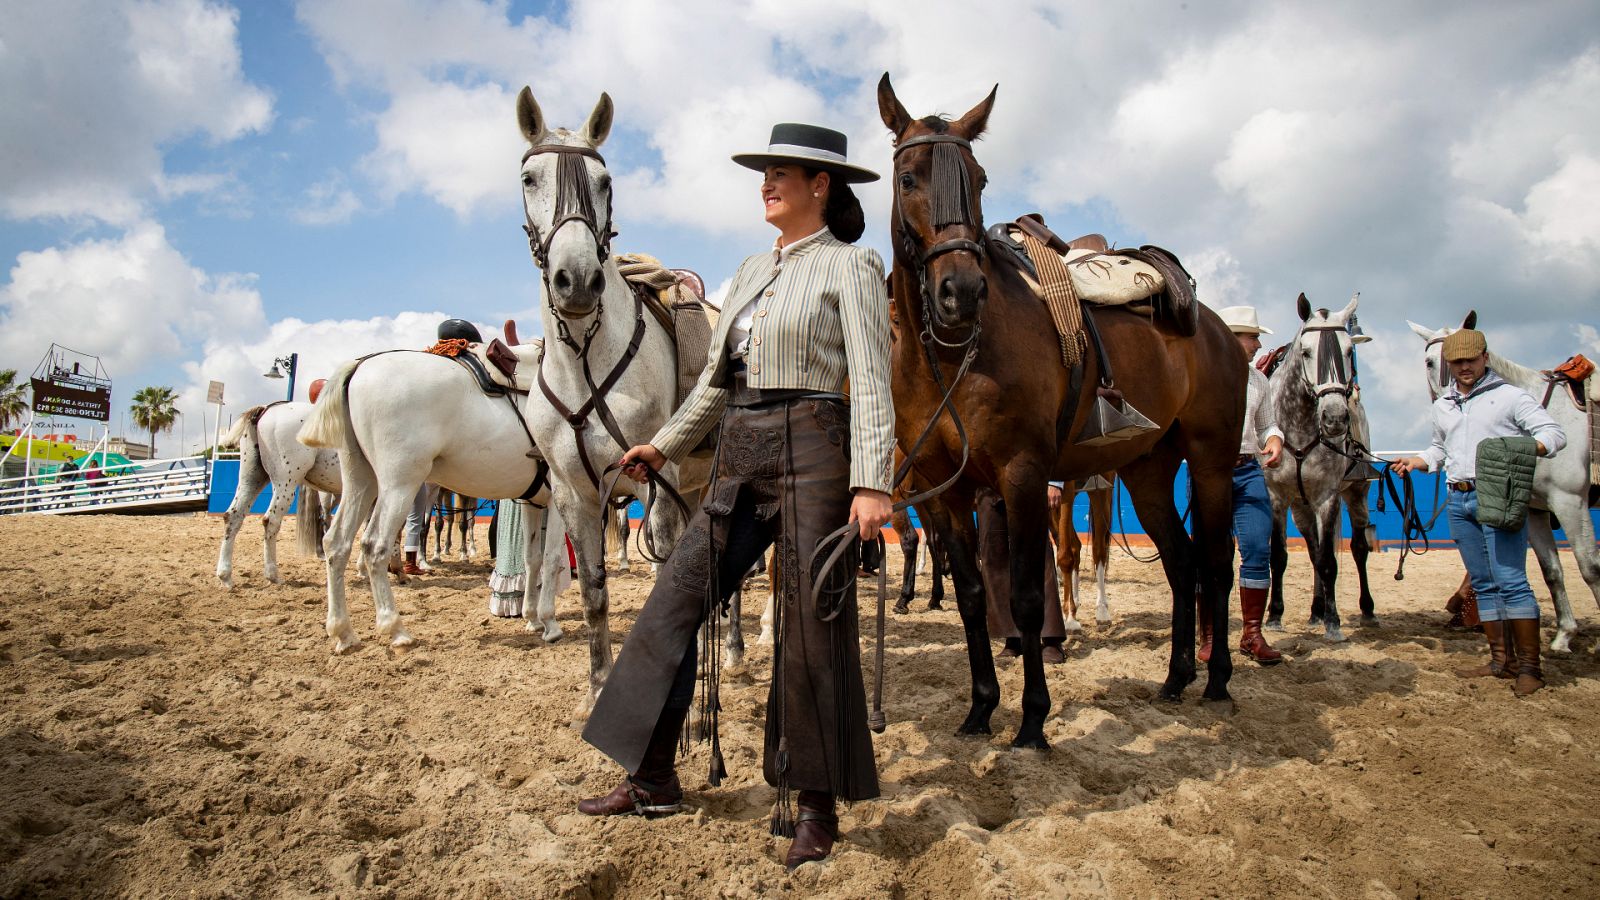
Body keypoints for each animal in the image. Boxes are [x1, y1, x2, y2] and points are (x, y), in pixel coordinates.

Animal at [214, 400, 339, 589]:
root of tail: (265, 409)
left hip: (252, 480)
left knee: (233, 516)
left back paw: (225, 576)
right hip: (285, 484)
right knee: (271, 521)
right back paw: (273, 574)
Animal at [512, 89, 713, 707]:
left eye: (604, 181)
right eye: (529, 177)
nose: (577, 281)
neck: (585, 364)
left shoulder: (656, 479)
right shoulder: (575, 493)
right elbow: (594, 592)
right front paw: (599, 685)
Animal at [1408, 312, 1593, 646]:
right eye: (1429, 361)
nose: (1449, 400)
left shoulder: (1570, 501)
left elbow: (1589, 567)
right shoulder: (1535, 509)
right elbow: (1552, 571)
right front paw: (1564, 636)